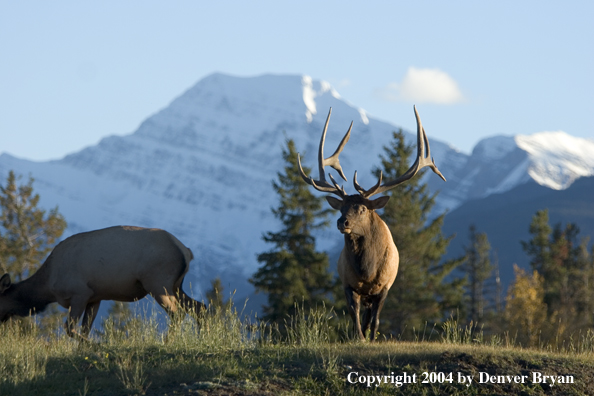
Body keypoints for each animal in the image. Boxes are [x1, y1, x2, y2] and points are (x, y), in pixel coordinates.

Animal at [0, 224, 205, 338]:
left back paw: (167, 340)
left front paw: (95, 346)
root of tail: (186, 251)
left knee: (177, 313)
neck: (47, 286)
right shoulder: (95, 297)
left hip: (158, 283)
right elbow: (84, 329)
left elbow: (70, 328)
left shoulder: (80, 293)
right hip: (175, 286)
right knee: (199, 307)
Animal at [296, 106, 444, 342]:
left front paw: (372, 338)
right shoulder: (347, 283)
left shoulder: (384, 287)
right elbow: (354, 315)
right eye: (341, 207)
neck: (367, 270)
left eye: (363, 208)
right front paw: (359, 338)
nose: (342, 222)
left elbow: (375, 319)